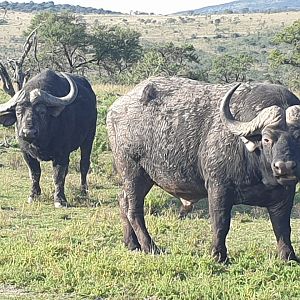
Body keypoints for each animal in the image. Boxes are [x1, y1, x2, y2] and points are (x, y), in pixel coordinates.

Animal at [0, 69, 96, 207]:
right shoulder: (26, 153)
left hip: (89, 138)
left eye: (42, 112)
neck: (41, 141)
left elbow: (58, 175)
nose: (28, 132)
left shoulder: (62, 154)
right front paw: (33, 195)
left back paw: (84, 191)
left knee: (84, 164)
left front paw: (60, 199)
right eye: (18, 112)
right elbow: (35, 173)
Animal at [108, 77, 300, 262]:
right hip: (133, 172)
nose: (284, 167)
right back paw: (149, 246)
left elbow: (282, 227)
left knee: (123, 201)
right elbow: (221, 223)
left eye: (298, 137)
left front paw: (288, 256)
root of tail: (114, 109)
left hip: (142, 179)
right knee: (134, 210)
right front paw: (218, 255)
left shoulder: (286, 195)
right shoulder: (218, 188)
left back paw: (132, 244)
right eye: (267, 138)